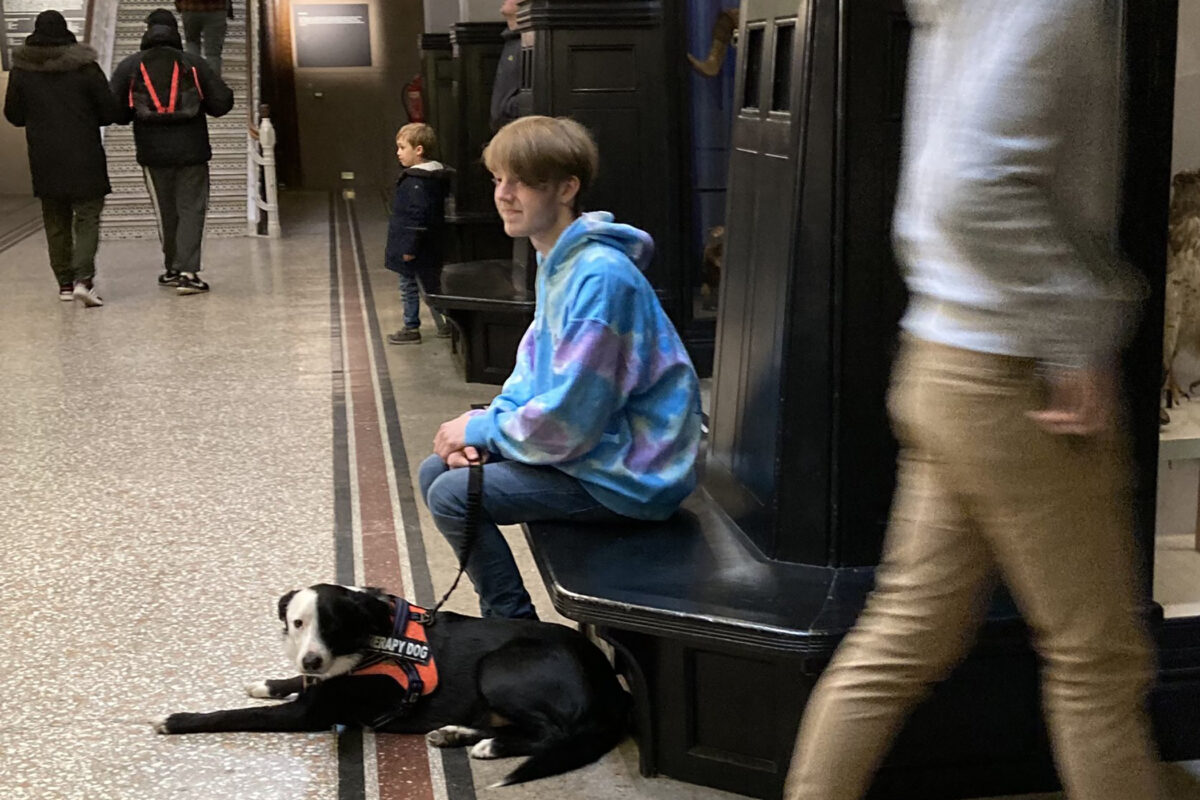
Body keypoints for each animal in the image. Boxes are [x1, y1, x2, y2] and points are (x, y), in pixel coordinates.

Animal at [154, 585, 633, 786]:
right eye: (298, 623)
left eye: (333, 625)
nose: (311, 658)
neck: (370, 640)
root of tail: (612, 685)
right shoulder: (317, 683)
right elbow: (294, 683)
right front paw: (269, 681)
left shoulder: (310, 713)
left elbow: (235, 715)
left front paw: (176, 719)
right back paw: (455, 733)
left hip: (499, 668)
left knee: (551, 732)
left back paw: (489, 746)